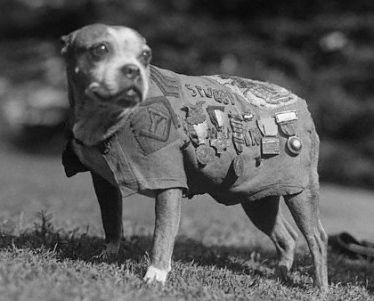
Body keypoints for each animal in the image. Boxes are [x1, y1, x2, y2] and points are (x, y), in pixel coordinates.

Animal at [59, 24, 328, 288]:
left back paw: (319, 287)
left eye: (145, 55)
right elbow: (112, 221)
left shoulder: (168, 183)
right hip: (258, 198)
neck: (107, 118)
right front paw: (108, 255)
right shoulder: (104, 183)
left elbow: (163, 233)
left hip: (301, 192)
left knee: (317, 238)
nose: (133, 69)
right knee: (286, 236)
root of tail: (298, 101)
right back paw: (280, 275)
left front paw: (156, 275)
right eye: (100, 49)